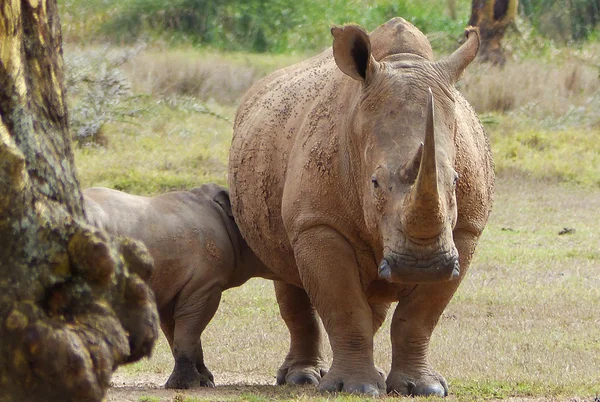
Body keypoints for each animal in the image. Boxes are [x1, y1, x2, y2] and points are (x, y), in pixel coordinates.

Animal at [82, 184, 274, 388]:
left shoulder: (174, 287)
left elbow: (179, 331)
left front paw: (205, 380)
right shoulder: (205, 285)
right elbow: (188, 331)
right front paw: (186, 384)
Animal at [229, 18, 492, 396]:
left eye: (455, 181)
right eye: (375, 183)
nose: (422, 266)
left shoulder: (466, 230)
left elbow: (420, 317)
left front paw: (423, 388)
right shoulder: (318, 224)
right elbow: (345, 307)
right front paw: (355, 388)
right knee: (288, 277)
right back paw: (302, 378)